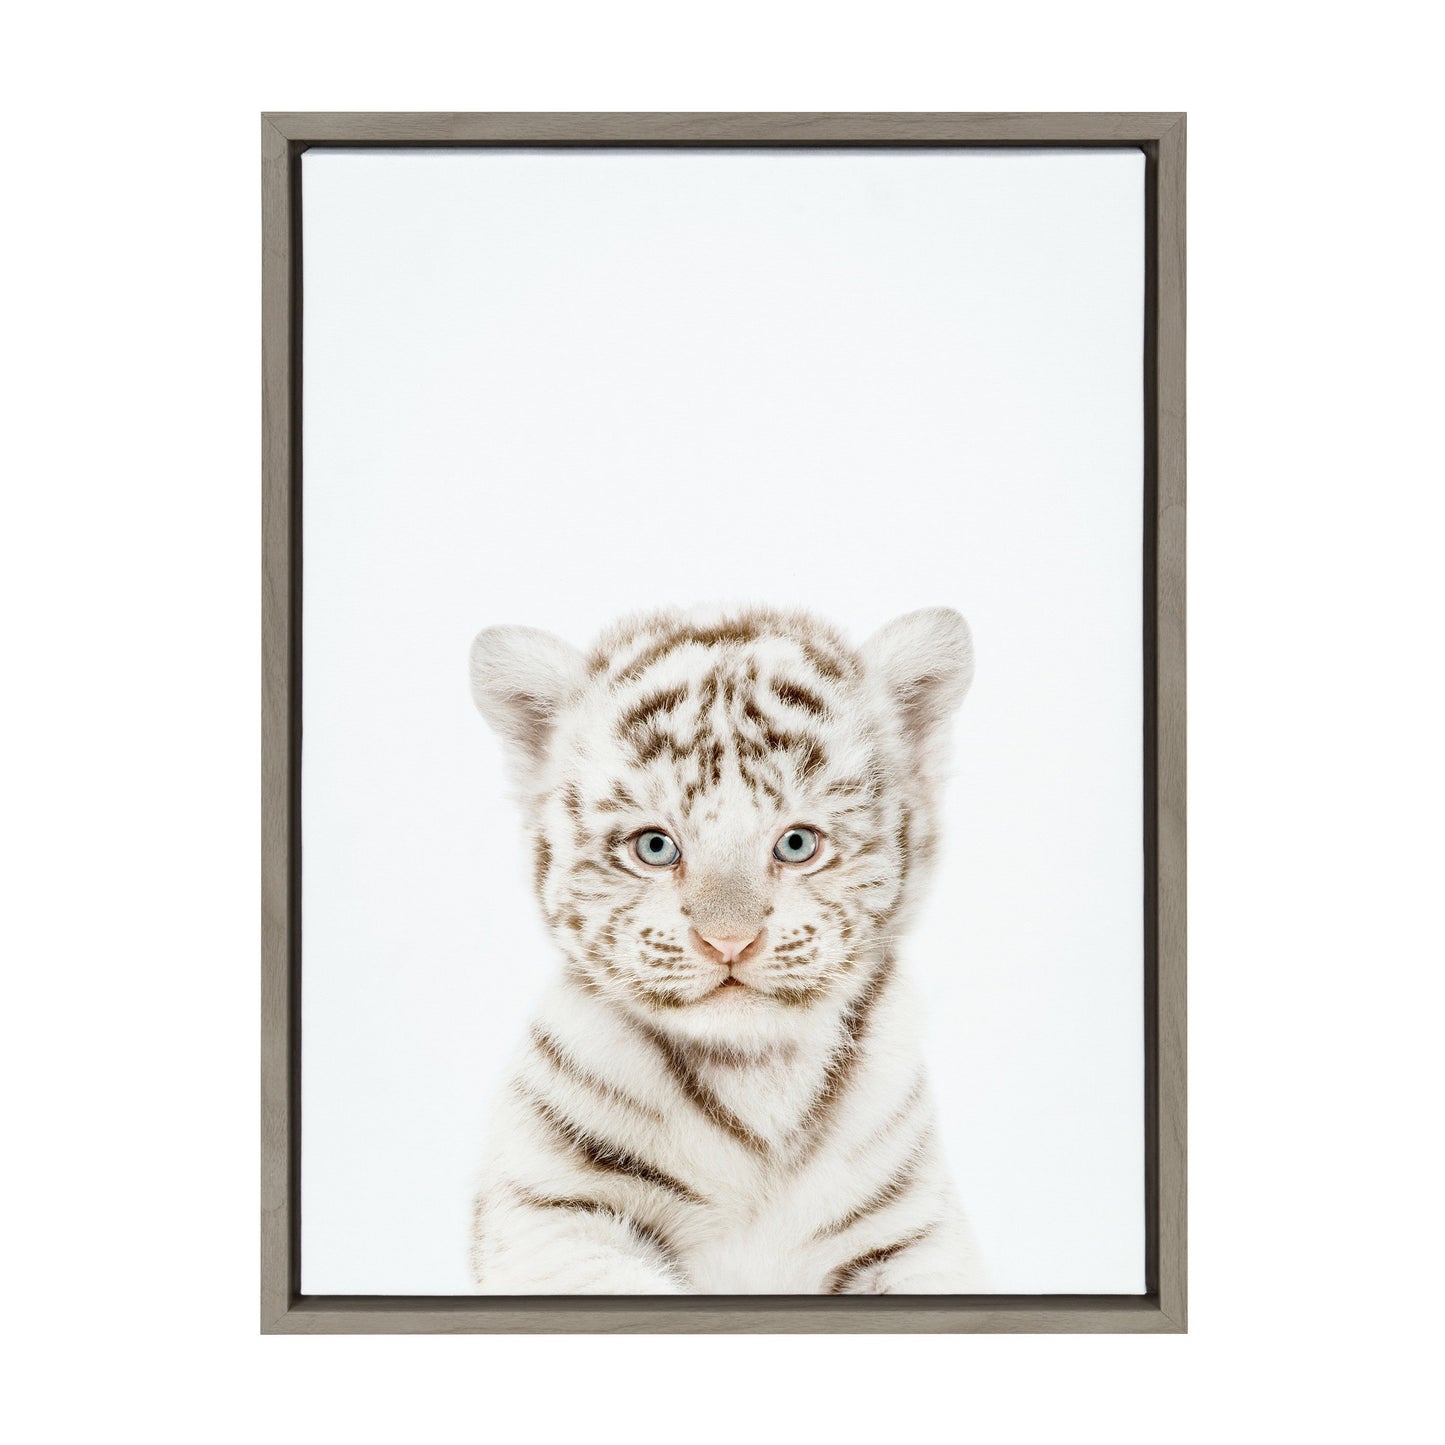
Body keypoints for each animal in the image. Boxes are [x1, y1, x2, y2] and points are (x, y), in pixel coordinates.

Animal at [466, 604, 985, 1293]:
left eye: (797, 844)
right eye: (655, 847)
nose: (728, 941)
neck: (755, 1076)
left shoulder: (915, 1230)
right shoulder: (547, 1213)